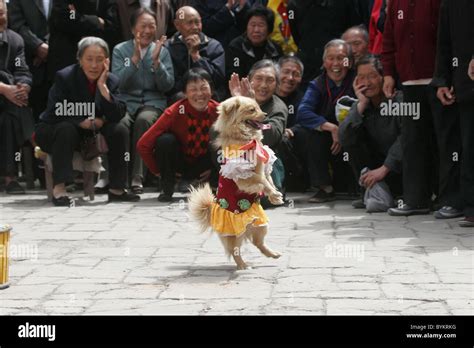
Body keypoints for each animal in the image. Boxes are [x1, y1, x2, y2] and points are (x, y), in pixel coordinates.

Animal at [188, 96, 286, 270]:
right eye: (252, 110)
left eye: (259, 108)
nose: (266, 114)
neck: (247, 139)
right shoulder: (244, 177)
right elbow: (262, 180)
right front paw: (274, 193)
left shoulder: (264, 165)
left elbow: (268, 179)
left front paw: (275, 196)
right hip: (237, 232)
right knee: (235, 251)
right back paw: (243, 266)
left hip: (261, 224)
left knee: (258, 243)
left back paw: (273, 254)